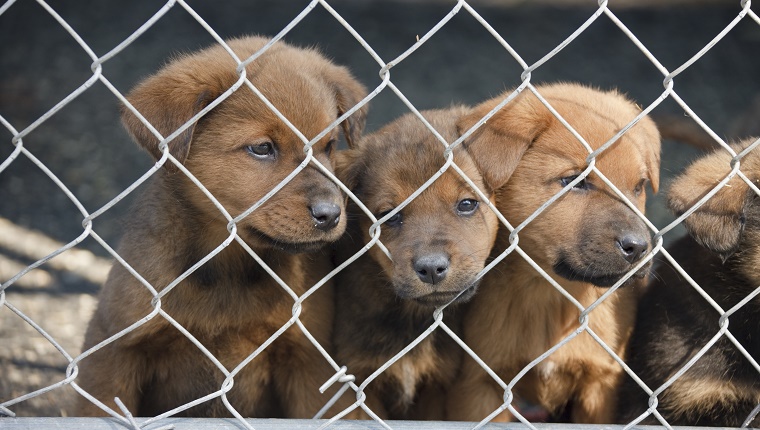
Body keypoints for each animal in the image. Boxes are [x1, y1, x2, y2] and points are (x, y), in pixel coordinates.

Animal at [75, 35, 368, 418]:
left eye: (329, 146)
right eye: (262, 148)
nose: (331, 214)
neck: (229, 267)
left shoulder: (308, 357)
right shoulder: (115, 346)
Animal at [332, 107, 504, 420]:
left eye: (467, 204)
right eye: (389, 215)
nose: (432, 269)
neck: (413, 318)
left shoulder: (437, 387)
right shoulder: (360, 383)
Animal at [448, 83, 664, 424]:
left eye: (639, 186)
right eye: (574, 181)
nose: (640, 247)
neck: (551, 294)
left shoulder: (600, 387)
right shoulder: (478, 386)